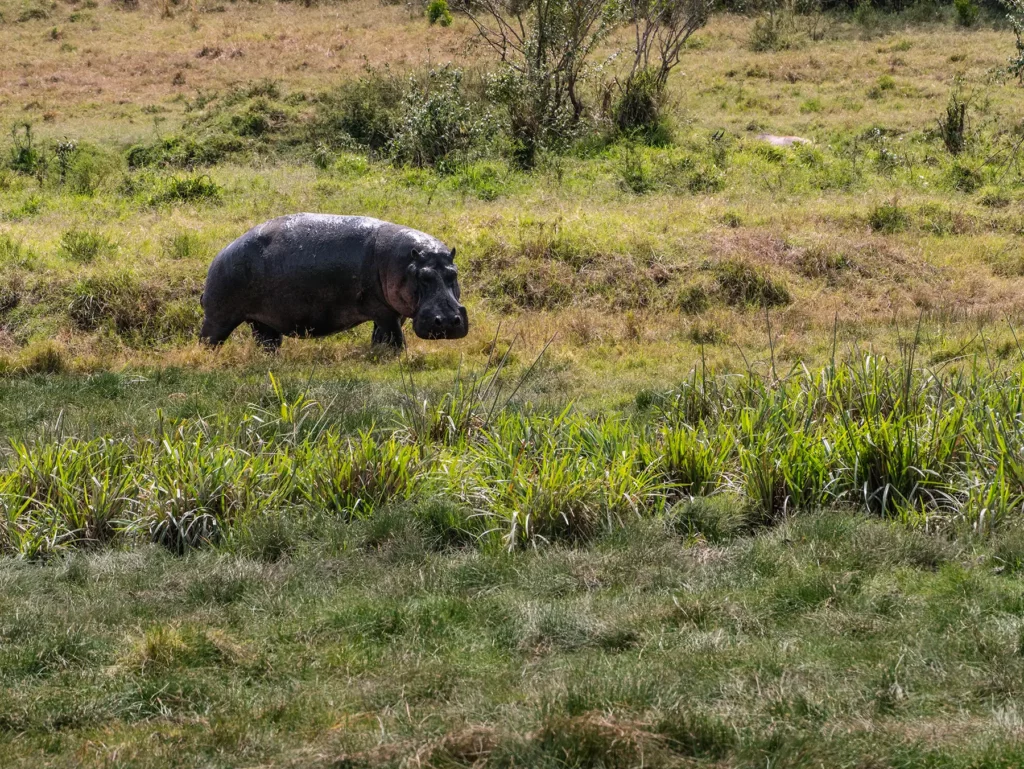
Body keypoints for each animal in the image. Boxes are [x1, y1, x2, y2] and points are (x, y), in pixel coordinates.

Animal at [199, 214, 468, 351]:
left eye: (453, 273)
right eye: (423, 277)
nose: (447, 321)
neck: (403, 263)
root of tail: (218, 256)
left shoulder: (394, 310)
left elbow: (381, 336)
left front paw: (378, 353)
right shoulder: (383, 310)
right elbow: (394, 337)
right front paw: (397, 355)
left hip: (262, 321)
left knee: (267, 342)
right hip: (219, 318)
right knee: (208, 339)